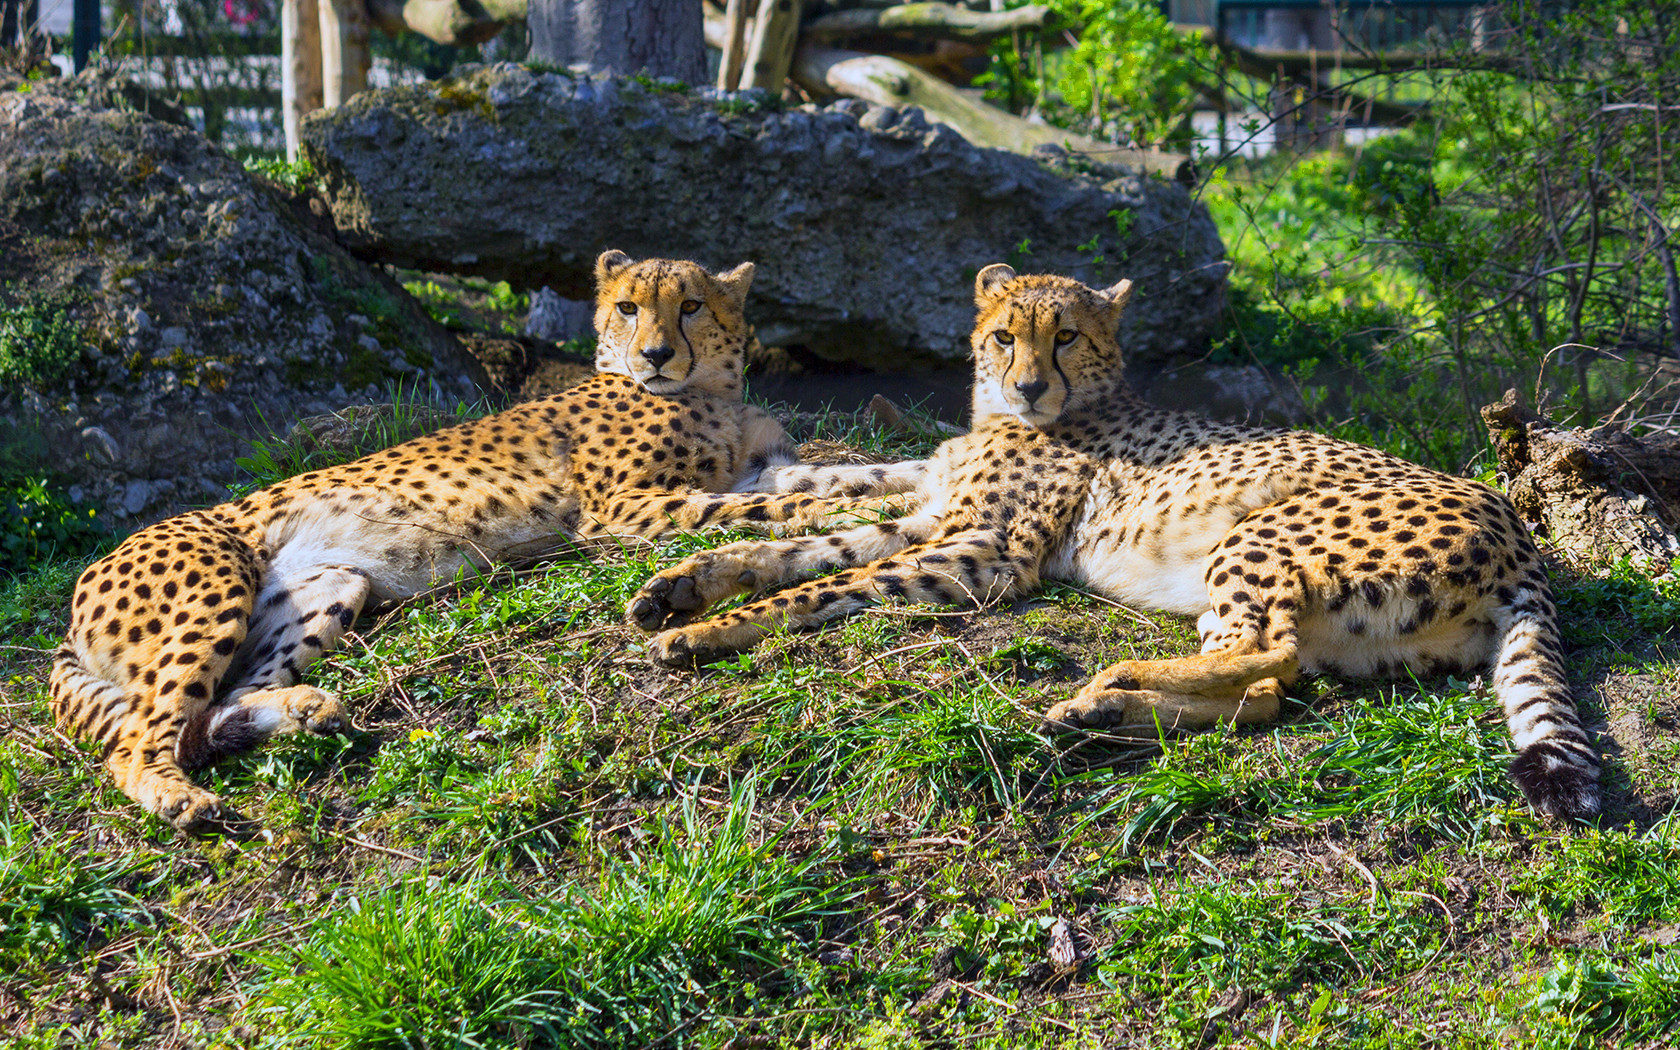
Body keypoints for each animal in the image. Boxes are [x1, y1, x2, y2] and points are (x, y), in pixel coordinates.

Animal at [52, 251, 927, 826]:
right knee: (141, 738)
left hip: (330, 586)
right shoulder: (623, 509)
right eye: (628, 308)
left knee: (215, 708)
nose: (653, 355)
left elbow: (855, 475)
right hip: (213, 587)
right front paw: (859, 523)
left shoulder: (756, 469)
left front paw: (923, 481)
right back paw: (179, 799)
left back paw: (302, 709)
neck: (706, 389)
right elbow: (784, 512)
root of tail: (82, 585)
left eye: (690, 307)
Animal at [631, 263, 1599, 819]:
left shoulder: (989, 553)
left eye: (1066, 337)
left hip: (1256, 538)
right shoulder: (933, 513)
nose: (1027, 386)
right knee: (1265, 691)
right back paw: (1107, 712)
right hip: (1347, 631)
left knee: (1269, 658)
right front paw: (688, 586)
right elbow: (815, 538)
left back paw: (1111, 686)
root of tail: (1518, 535)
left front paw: (700, 628)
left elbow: (824, 580)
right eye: (1004, 335)